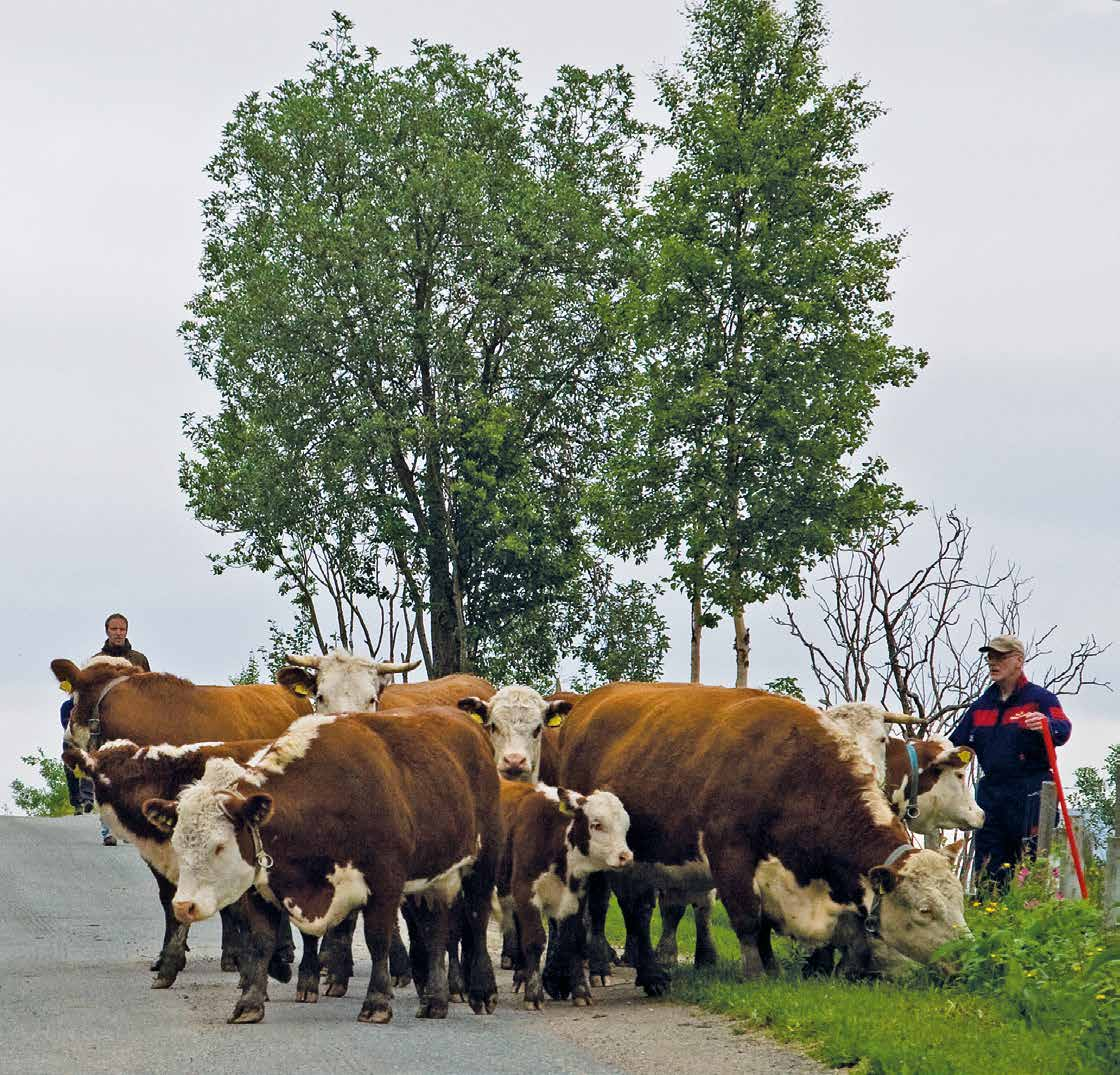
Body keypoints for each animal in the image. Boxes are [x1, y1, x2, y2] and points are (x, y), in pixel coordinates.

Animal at [145, 707, 504, 1025]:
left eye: (219, 846)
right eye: (178, 843)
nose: (184, 905)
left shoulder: (385, 882)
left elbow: (378, 940)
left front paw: (376, 1003)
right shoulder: (262, 889)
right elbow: (260, 943)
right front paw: (249, 1004)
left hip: (482, 863)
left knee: (475, 918)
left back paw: (481, 991)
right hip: (430, 879)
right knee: (435, 933)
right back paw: (435, 1000)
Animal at [499, 779, 631, 1007]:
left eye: (626, 825)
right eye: (597, 824)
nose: (626, 856)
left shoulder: (575, 897)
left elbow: (574, 940)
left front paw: (580, 991)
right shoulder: (526, 893)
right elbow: (534, 940)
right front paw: (534, 994)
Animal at [564, 685, 967, 994]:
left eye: (960, 900)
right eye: (924, 910)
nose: (967, 956)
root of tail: (592, 700)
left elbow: (778, 926)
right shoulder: (730, 856)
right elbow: (747, 917)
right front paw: (756, 974)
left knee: (638, 907)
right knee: (606, 907)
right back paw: (607, 968)